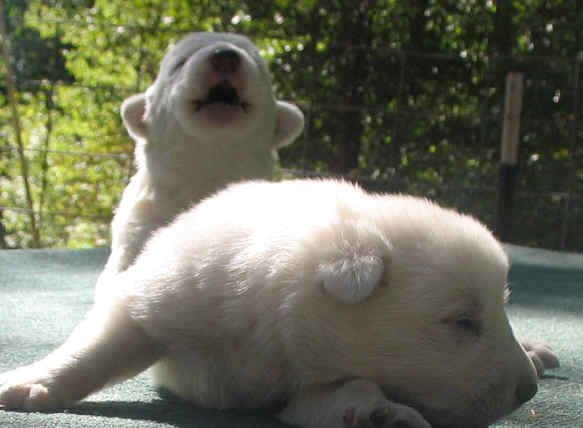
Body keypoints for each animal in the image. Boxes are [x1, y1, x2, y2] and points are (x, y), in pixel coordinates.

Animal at [0, 180, 540, 428]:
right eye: (463, 322)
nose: (529, 391)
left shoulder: (307, 382)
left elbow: (344, 391)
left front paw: (382, 412)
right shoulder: (162, 297)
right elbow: (97, 349)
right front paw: (29, 384)